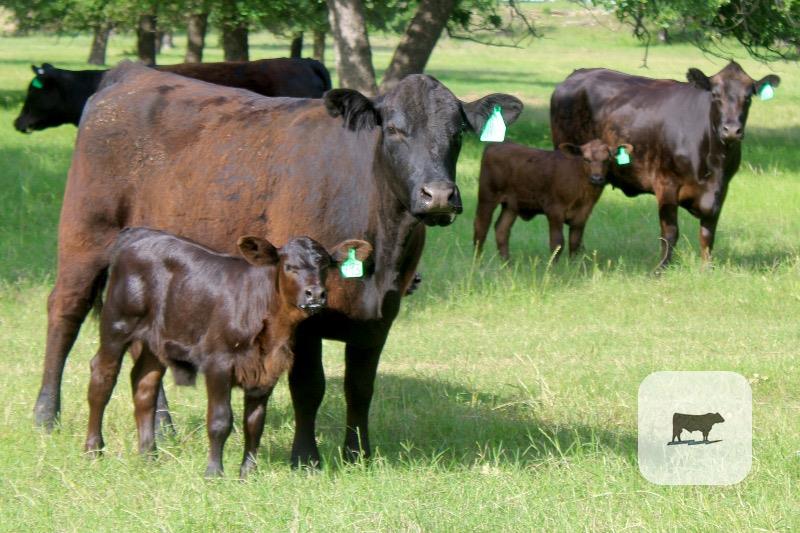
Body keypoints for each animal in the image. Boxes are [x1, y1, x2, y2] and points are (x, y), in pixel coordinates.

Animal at [85, 228, 371, 478]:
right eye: (289, 266)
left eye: (324, 266)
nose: (316, 294)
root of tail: (136, 234)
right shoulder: (218, 362)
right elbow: (220, 421)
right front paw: (214, 473)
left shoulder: (266, 369)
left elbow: (254, 423)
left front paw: (248, 474)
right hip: (117, 323)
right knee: (102, 378)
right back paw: (93, 451)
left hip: (155, 340)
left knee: (144, 384)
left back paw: (148, 455)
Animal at [473, 139, 630, 260]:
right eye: (586, 159)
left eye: (607, 159)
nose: (596, 178)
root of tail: (495, 145)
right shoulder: (554, 209)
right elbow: (557, 243)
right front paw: (553, 268)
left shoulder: (583, 213)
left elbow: (575, 242)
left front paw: (574, 267)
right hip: (487, 196)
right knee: (480, 228)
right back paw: (478, 263)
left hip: (511, 205)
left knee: (501, 229)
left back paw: (507, 264)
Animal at [550, 62, 781, 269]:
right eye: (715, 95)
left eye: (748, 97)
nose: (732, 130)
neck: (713, 162)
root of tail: (577, 74)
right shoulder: (666, 183)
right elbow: (670, 232)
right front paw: (661, 268)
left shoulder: (721, 189)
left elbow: (708, 232)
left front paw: (707, 268)